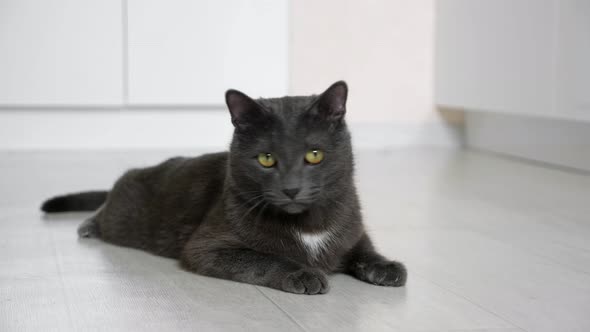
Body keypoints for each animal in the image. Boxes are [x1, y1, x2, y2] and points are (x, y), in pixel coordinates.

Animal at [40, 81, 408, 294]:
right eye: (266, 159)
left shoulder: (351, 225)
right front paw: (304, 274)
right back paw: (88, 225)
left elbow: (363, 247)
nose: (291, 188)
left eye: (314, 155)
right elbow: (263, 258)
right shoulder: (205, 247)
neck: (308, 224)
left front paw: (386, 266)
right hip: (124, 215)